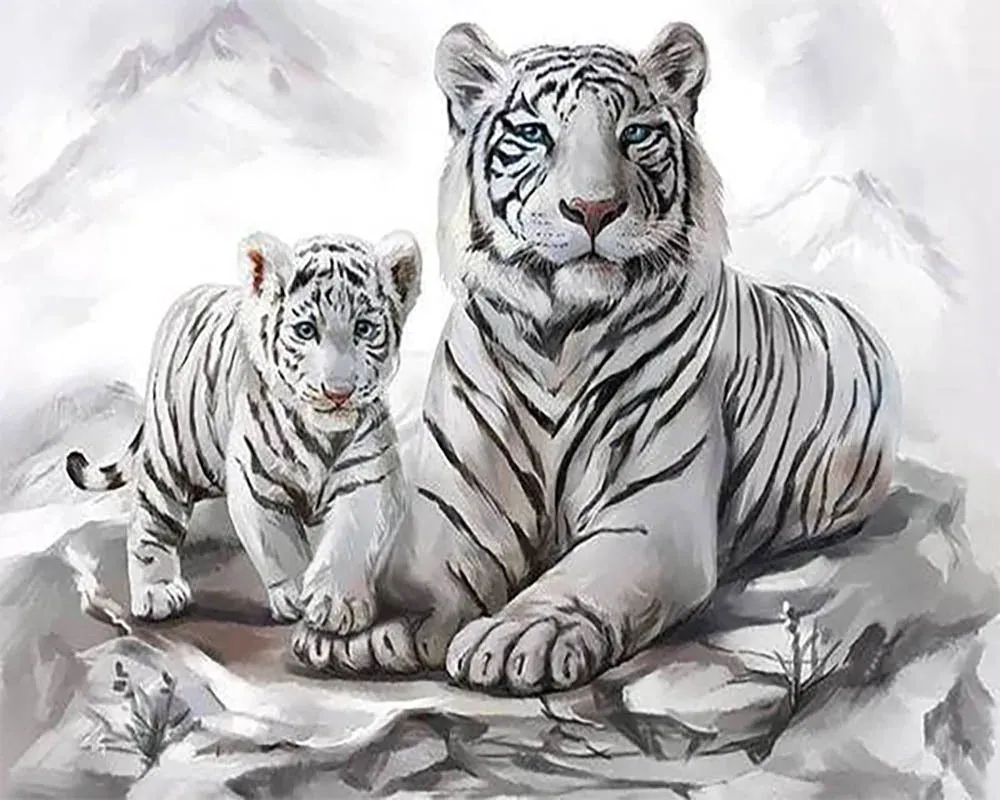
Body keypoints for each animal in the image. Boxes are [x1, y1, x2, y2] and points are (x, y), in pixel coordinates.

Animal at [66, 229, 422, 634]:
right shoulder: (257, 483)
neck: (322, 434)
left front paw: (336, 604)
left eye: (364, 328)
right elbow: (280, 545)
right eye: (306, 330)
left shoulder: (370, 478)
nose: (338, 392)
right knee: (149, 519)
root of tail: (188, 299)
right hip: (169, 458)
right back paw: (157, 592)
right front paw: (296, 596)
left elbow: (352, 538)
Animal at [290, 21, 902, 696]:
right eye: (534, 133)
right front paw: (370, 622)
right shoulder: (456, 499)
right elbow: (420, 565)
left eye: (634, 133)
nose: (593, 209)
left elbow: (582, 578)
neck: (557, 337)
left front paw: (522, 635)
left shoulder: (650, 510)